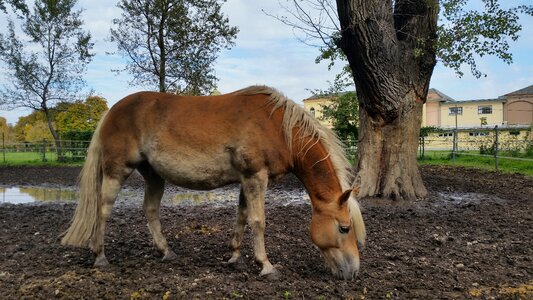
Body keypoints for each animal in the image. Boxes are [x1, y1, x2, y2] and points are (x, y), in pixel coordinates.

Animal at [60, 85, 364, 280]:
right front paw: (266, 266)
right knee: (103, 210)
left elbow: (242, 217)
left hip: (154, 176)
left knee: (150, 210)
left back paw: (166, 251)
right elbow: (258, 221)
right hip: (116, 172)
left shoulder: (246, 180)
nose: (354, 271)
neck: (278, 127)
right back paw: (100, 256)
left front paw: (234, 256)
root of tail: (111, 112)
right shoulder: (256, 177)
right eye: (344, 228)